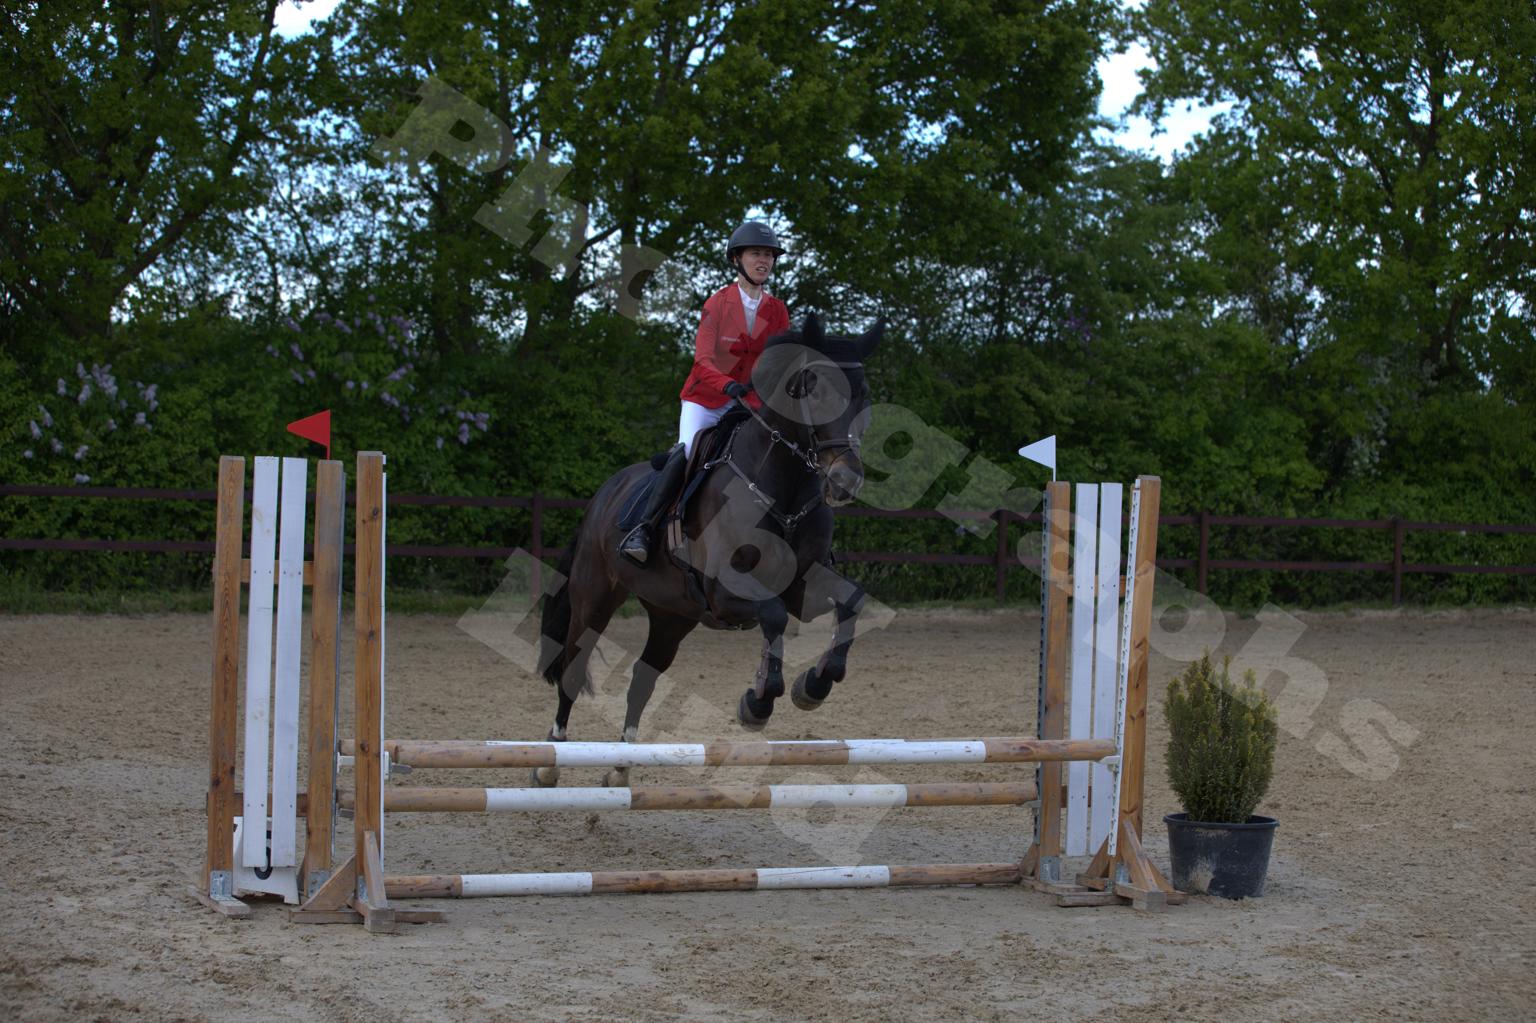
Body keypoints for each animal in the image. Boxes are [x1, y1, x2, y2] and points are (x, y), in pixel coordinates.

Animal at [533, 313, 881, 787]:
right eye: (811, 388)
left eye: (864, 395)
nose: (845, 481)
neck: (782, 489)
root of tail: (603, 494)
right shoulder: (725, 591)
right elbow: (773, 615)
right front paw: (757, 704)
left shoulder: (802, 588)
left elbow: (851, 600)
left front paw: (813, 686)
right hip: (594, 598)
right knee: (572, 666)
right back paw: (549, 763)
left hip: (672, 614)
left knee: (642, 680)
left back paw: (621, 770)